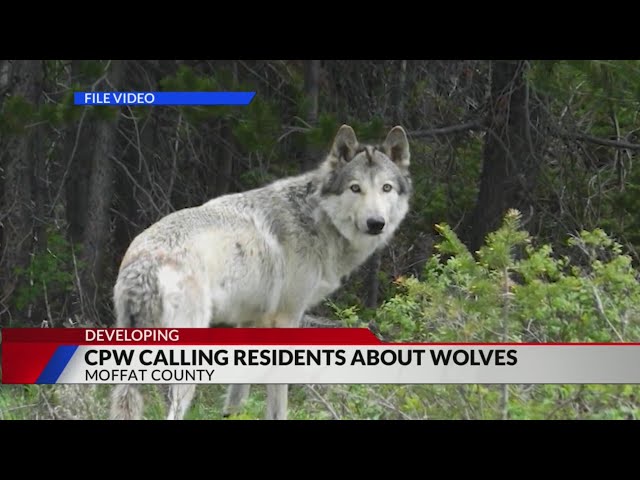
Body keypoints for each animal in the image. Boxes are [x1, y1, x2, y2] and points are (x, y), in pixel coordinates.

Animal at [110, 124, 412, 420]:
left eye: (386, 188)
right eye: (355, 188)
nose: (376, 223)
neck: (317, 219)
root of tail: (146, 261)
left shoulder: (250, 321)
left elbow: (235, 399)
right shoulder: (286, 320)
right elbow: (278, 404)